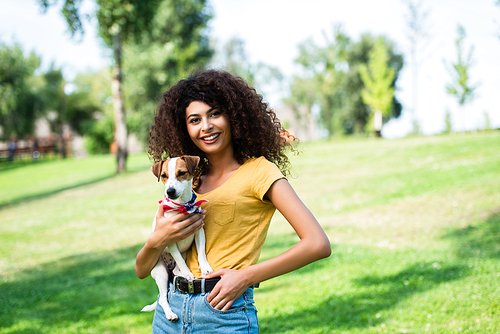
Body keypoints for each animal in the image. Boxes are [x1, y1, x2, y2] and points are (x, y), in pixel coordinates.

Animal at [141, 156, 213, 320]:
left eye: (181, 173)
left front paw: (205, 267)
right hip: (160, 272)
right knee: (162, 298)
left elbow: (201, 253)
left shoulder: (199, 231)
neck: (182, 207)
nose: (170, 191)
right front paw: (188, 273)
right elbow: (179, 258)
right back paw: (170, 314)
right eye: (163, 175)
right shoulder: (169, 238)